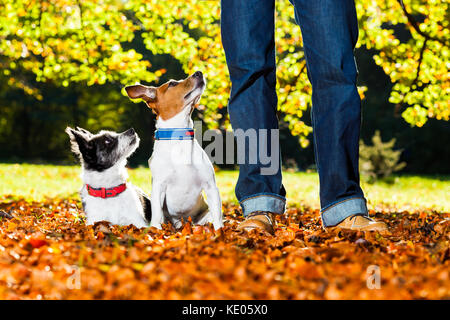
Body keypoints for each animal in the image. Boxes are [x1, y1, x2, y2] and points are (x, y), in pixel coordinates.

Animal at [125, 71, 223, 230]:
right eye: (172, 84)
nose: (199, 72)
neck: (179, 138)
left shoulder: (210, 186)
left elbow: (218, 217)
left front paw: (220, 232)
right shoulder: (159, 187)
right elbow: (157, 216)